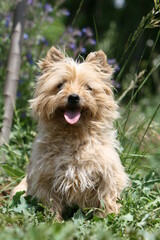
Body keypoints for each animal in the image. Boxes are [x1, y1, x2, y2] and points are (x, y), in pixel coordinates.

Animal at [11, 46, 129, 220]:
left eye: (88, 87)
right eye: (60, 85)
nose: (73, 97)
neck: (73, 134)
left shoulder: (108, 174)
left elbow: (107, 196)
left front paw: (108, 217)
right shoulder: (45, 178)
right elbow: (51, 203)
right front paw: (54, 221)